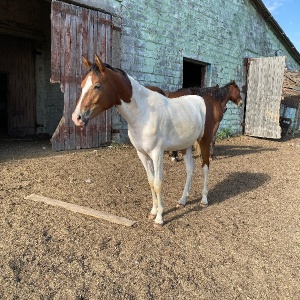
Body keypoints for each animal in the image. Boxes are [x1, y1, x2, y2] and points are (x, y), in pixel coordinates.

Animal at [72, 54, 214, 227]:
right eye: (82, 85)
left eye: (97, 86)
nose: (77, 118)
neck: (143, 113)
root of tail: (202, 100)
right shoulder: (142, 154)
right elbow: (151, 181)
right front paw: (153, 212)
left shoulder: (157, 153)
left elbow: (158, 183)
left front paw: (159, 218)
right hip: (185, 145)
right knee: (190, 170)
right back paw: (182, 200)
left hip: (204, 141)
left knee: (205, 167)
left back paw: (204, 200)